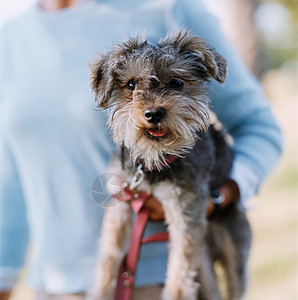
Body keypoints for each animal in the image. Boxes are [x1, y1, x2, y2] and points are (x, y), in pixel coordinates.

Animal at [86, 29, 251, 300]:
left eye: (176, 83)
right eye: (130, 85)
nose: (153, 113)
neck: (151, 164)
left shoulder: (185, 210)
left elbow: (179, 272)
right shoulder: (121, 200)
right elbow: (109, 254)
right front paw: (99, 291)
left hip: (232, 246)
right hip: (204, 262)